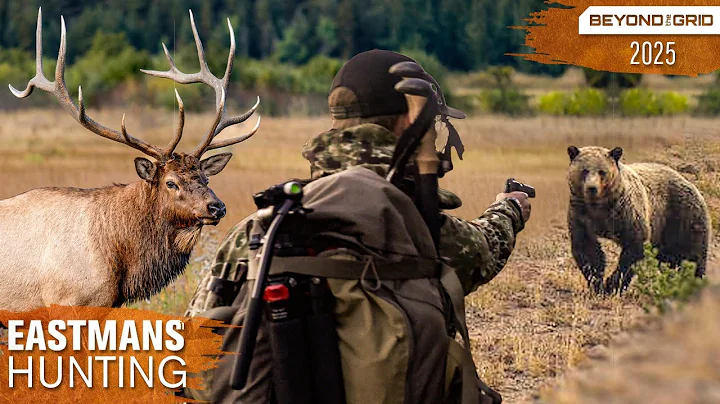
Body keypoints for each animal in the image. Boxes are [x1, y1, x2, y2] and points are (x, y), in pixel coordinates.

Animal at [566, 145, 710, 294]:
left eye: (602, 171)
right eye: (584, 170)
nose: (592, 188)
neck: (600, 206)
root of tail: (688, 181)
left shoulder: (625, 213)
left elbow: (634, 246)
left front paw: (612, 285)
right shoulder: (581, 215)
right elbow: (587, 248)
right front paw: (598, 284)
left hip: (682, 215)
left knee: (693, 254)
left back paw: (694, 282)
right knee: (668, 256)